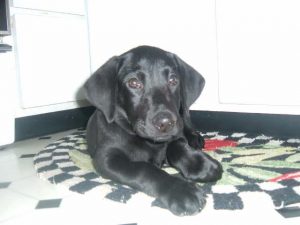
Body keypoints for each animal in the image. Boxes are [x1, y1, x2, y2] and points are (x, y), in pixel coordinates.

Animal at [83, 45, 221, 214]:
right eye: (133, 83)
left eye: (173, 80)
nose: (166, 123)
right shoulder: (106, 158)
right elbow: (144, 169)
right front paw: (181, 190)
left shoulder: (175, 134)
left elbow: (177, 145)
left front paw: (200, 165)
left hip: (181, 112)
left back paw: (195, 138)